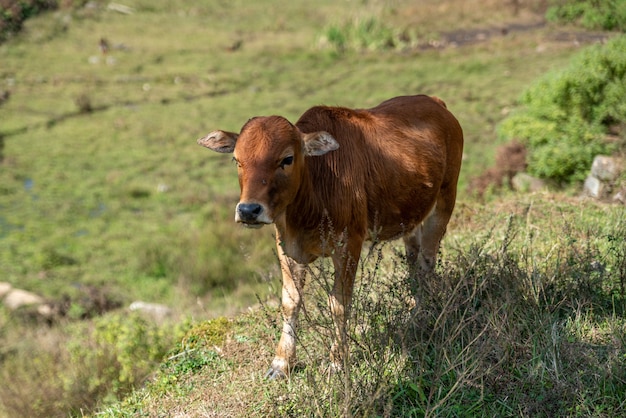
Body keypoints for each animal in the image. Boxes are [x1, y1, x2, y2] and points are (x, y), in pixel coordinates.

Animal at [197, 94, 460, 378]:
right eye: (237, 160)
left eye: (287, 159)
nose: (248, 210)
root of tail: (434, 101)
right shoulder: (287, 246)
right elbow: (290, 302)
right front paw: (281, 362)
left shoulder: (349, 245)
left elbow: (339, 305)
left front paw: (337, 361)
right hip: (411, 217)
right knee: (414, 259)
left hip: (445, 200)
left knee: (427, 261)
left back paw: (423, 314)